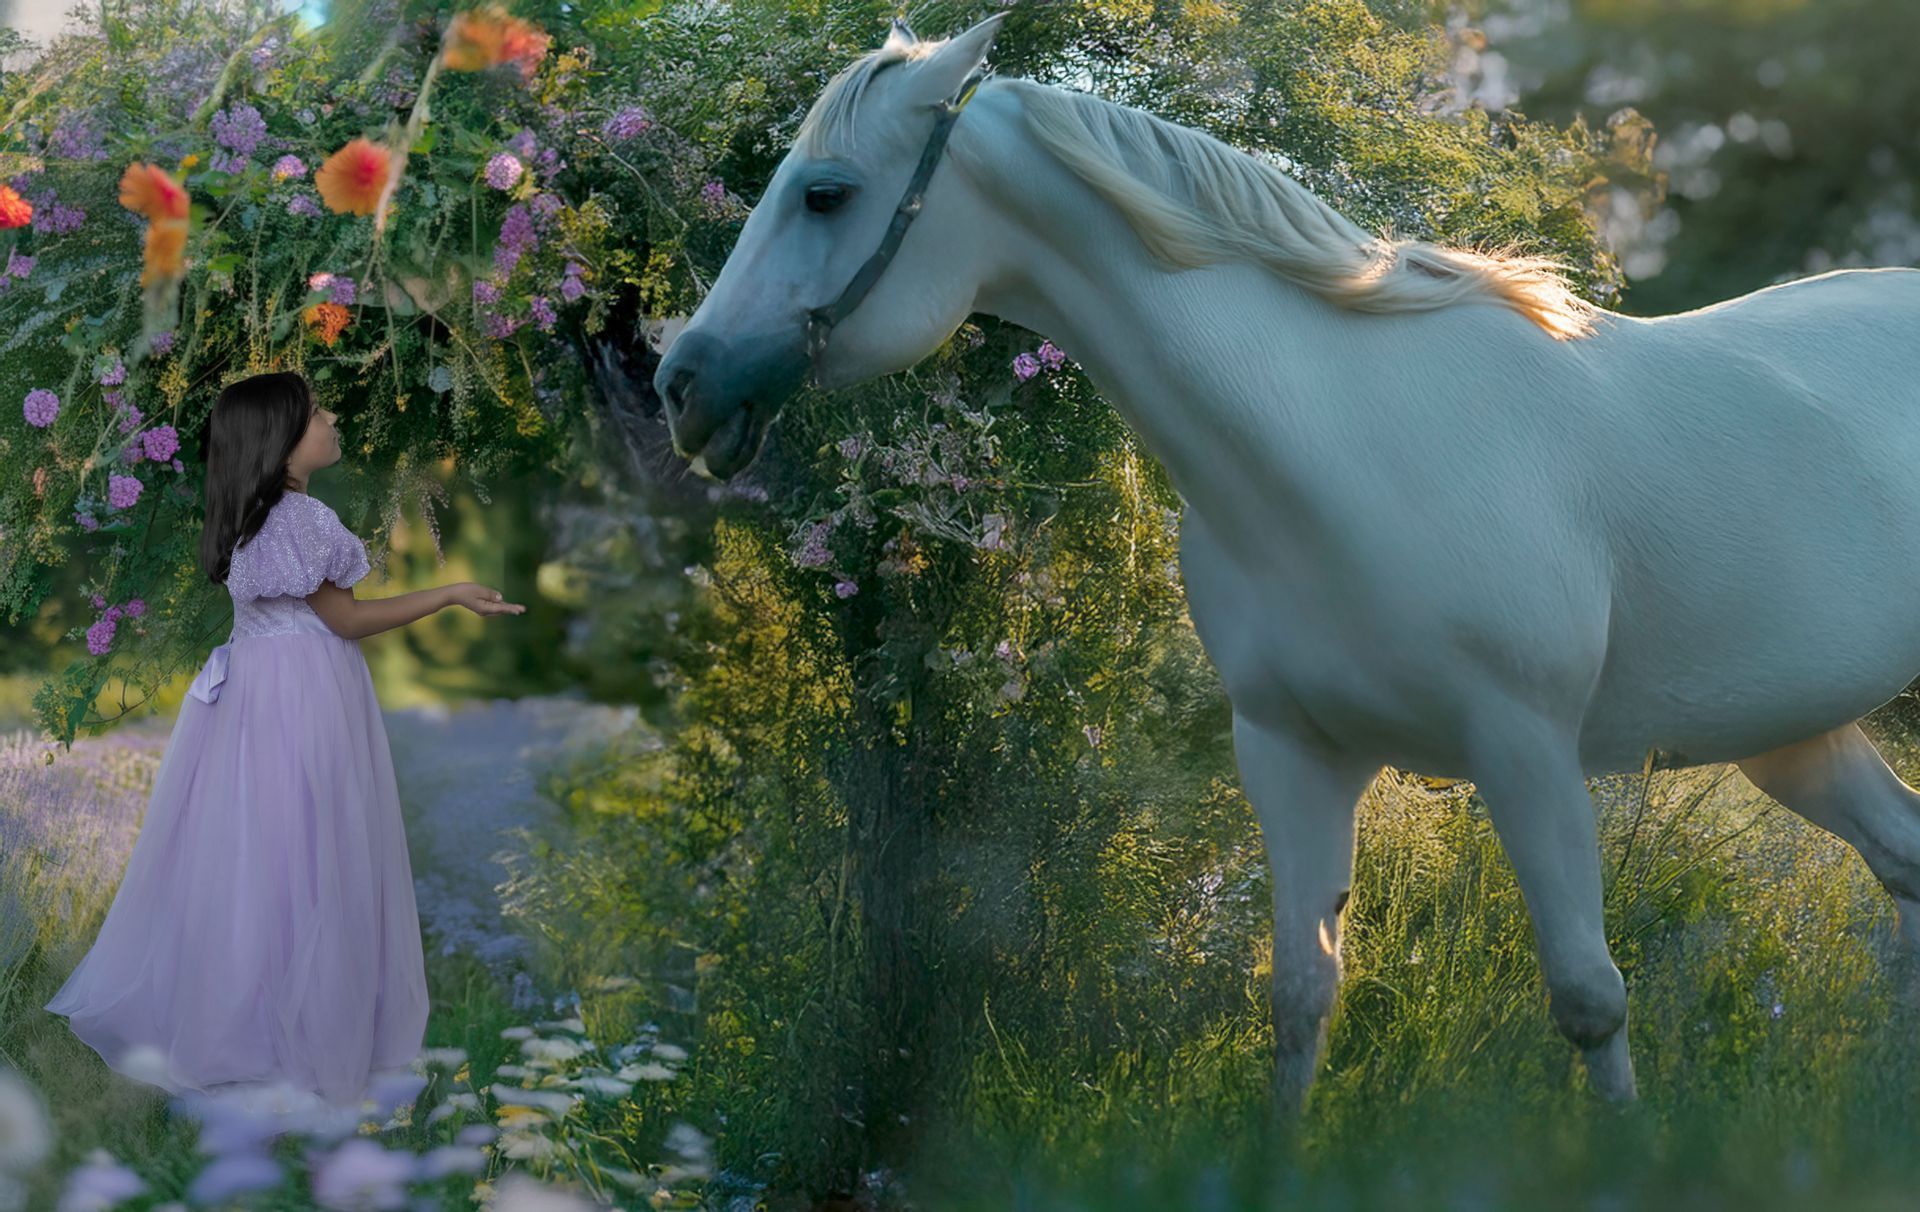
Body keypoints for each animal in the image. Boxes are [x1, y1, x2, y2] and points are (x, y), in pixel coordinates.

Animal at [651, 11, 1920, 1112]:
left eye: (825, 193)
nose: (683, 384)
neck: (1336, 445)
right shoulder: (1293, 754)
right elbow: (1301, 995)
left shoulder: (1528, 754)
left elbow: (1589, 1000)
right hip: (1793, 734)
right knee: (1904, 866)